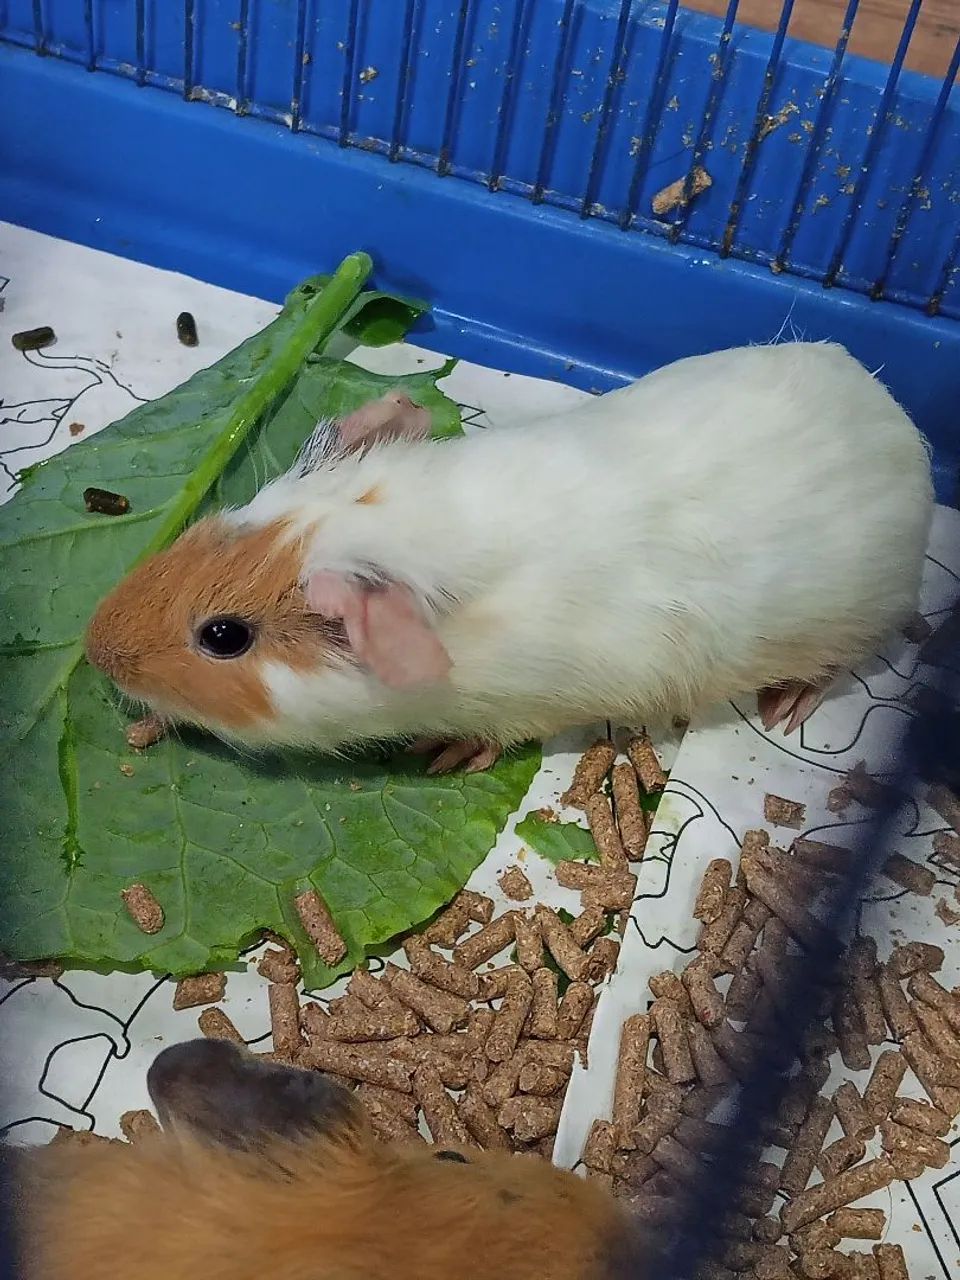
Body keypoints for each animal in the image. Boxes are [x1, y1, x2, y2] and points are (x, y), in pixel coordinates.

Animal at [85, 343, 933, 774]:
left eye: (224, 636)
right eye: (217, 524)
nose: (97, 651)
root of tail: (897, 423)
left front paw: (445, 756)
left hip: (851, 626)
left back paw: (785, 709)